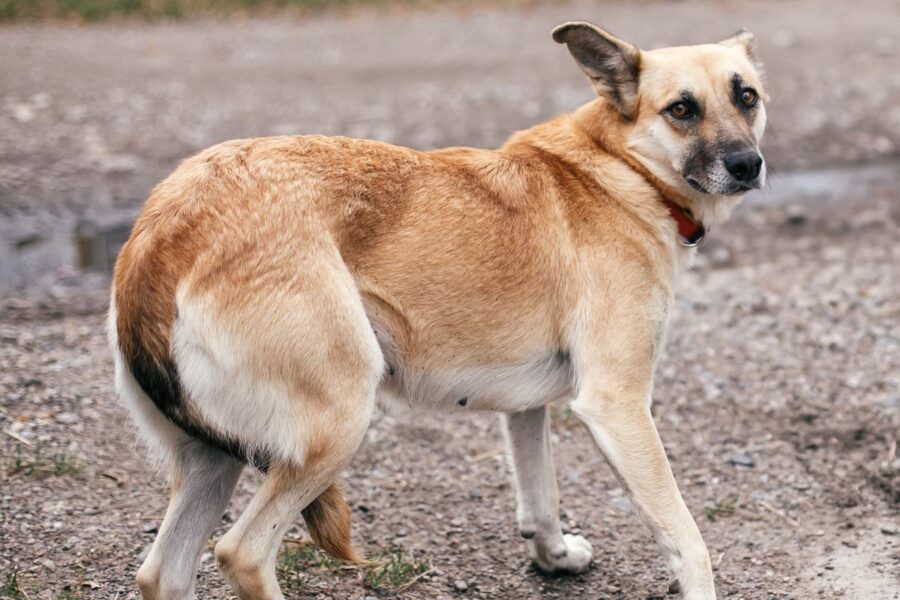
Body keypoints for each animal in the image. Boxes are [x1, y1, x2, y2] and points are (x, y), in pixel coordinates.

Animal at [107, 21, 768, 596]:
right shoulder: (617, 405)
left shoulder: (528, 408)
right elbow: (687, 537)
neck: (620, 169)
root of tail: (163, 231)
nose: (748, 165)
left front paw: (553, 557)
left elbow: (540, 498)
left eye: (747, 97)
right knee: (241, 553)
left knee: (163, 574)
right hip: (337, 424)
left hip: (213, 459)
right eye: (681, 109)